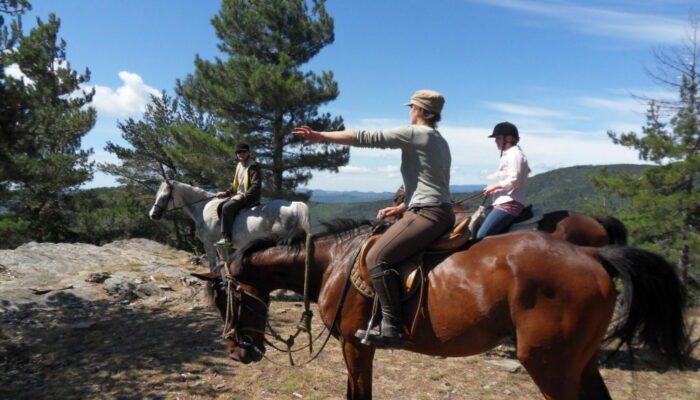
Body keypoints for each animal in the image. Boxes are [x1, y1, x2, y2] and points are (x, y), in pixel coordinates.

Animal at [150, 180, 308, 270]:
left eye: (164, 197)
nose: (153, 215)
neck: (203, 208)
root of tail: (293, 205)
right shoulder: (220, 246)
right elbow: (224, 262)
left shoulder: (209, 243)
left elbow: (213, 265)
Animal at [194, 220, 692, 398]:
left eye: (225, 300)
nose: (238, 352)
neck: (332, 262)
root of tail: (591, 254)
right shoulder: (360, 349)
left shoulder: (356, 346)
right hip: (580, 362)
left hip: (549, 364)